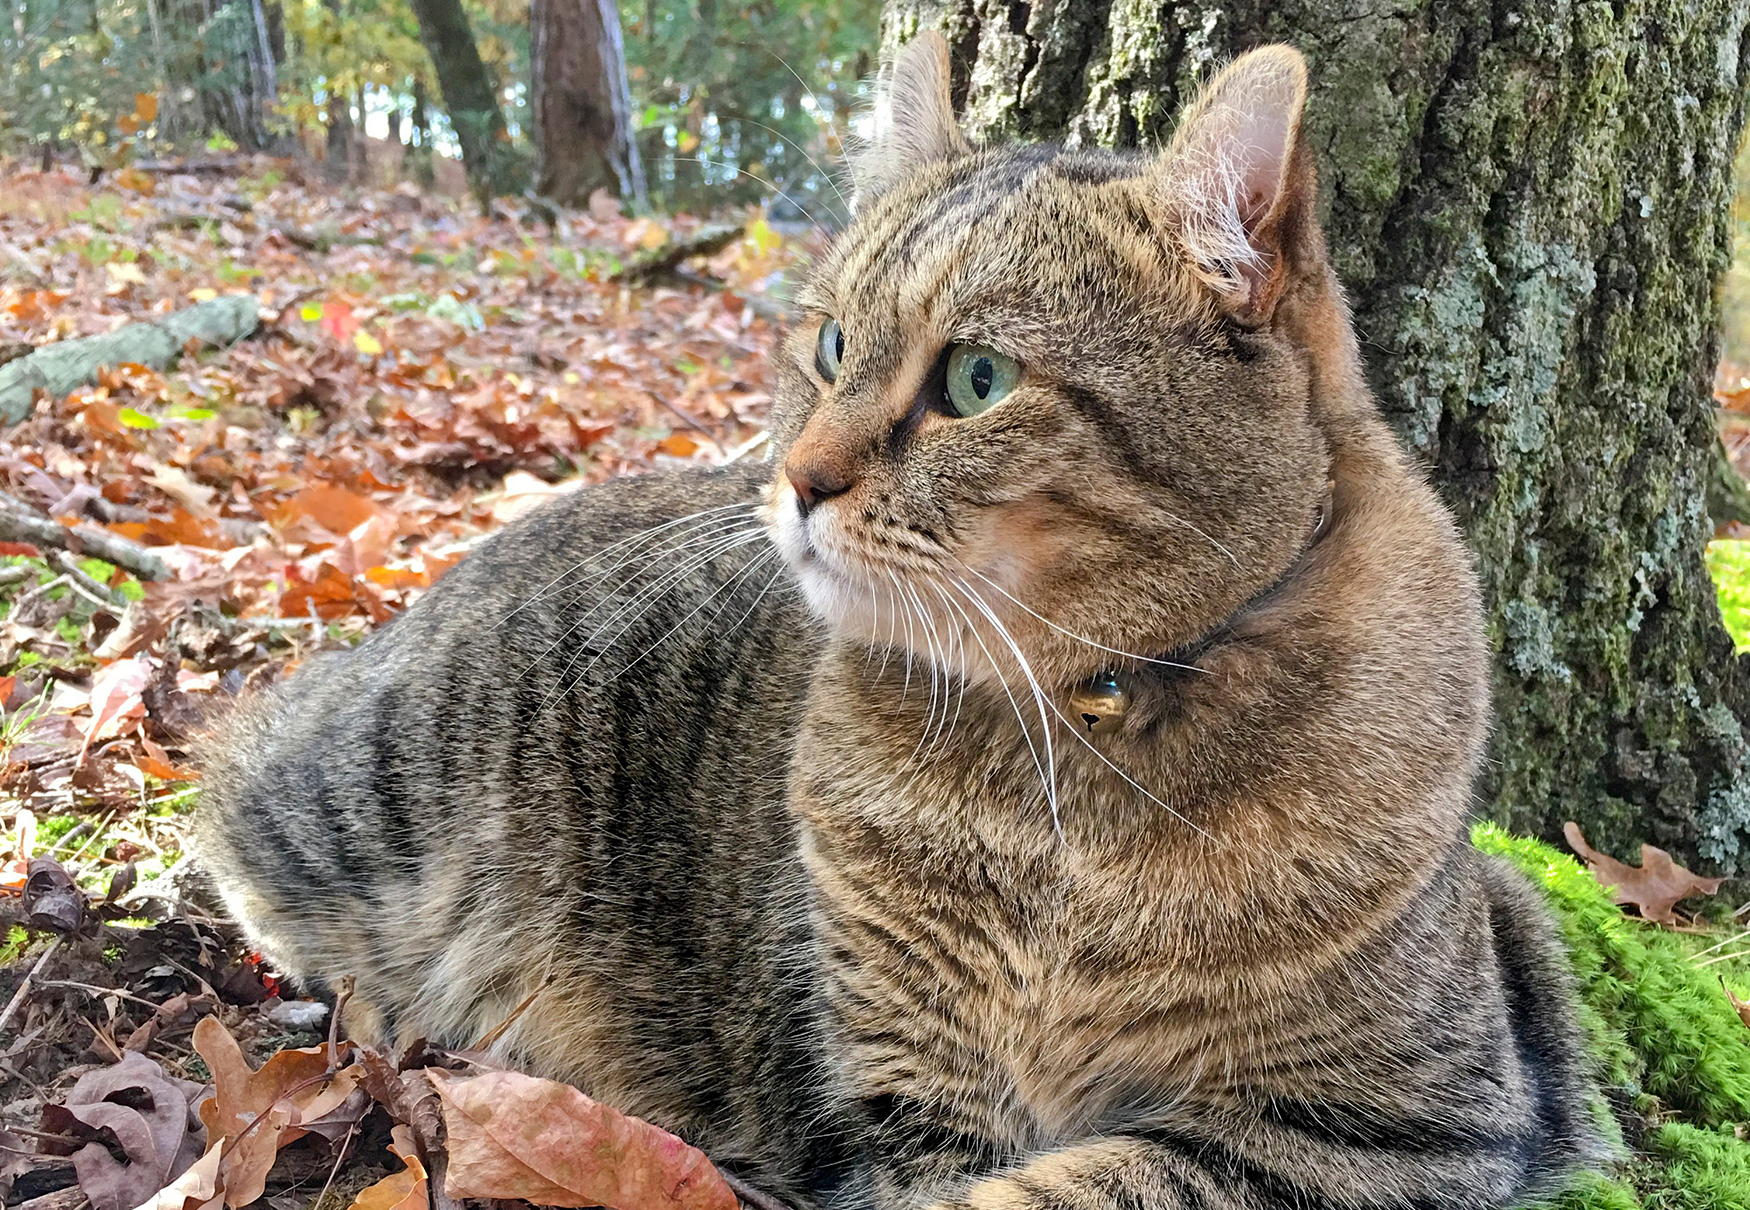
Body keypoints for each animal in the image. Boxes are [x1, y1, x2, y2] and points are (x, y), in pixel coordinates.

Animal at [191, 35, 1603, 1210]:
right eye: (827, 346)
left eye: (976, 379)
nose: (796, 479)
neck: (1067, 761)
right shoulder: (897, 1087)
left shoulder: (1397, 1126)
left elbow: (1088, 1184)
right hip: (366, 787)